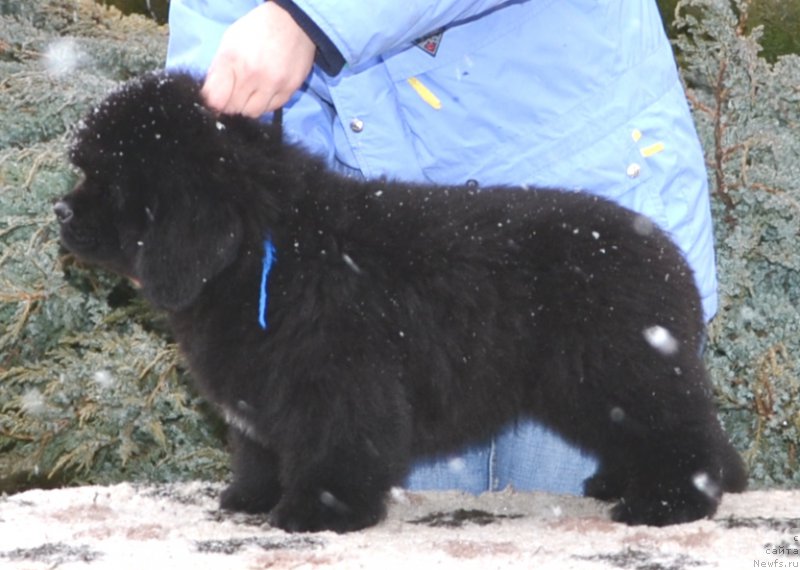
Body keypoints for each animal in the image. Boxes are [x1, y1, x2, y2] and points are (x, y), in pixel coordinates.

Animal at [54, 72, 744, 532]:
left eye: (109, 179)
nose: (60, 211)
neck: (263, 245)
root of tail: (668, 252)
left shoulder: (337, 380)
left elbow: (335, 449)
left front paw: (314, 514)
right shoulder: (261, 390)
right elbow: (259, 449)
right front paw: (250, 498)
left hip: (621, 366)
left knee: (683, 432)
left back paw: (666, 503)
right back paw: (616, 484)